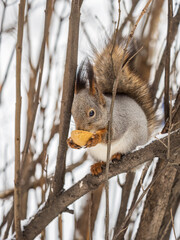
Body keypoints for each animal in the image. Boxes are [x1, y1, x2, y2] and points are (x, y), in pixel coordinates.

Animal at [67, 39, 157, 174]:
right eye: (72, 112)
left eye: (92, 113)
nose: (80, 129)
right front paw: (71, 141)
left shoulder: (118, 120)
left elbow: (112, 134)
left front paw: (96, 138)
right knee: (103, 161)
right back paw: (98, 165)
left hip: (133, 140)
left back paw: (118, 155)